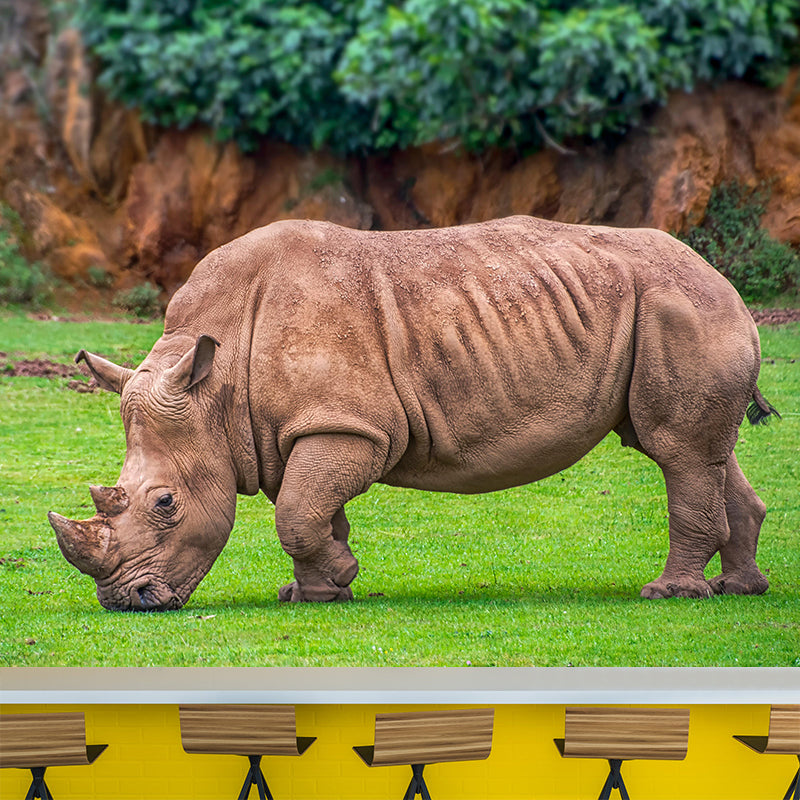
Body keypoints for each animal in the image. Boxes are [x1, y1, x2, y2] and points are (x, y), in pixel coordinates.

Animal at [48, 216, 778, 611]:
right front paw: (317, 592)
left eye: (165, 503)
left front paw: (336, 580)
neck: (215, 389)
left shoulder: (348, 424)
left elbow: (298, 515)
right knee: (701, 452)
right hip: (674, 308)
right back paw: (739, 589)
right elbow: (312, 511)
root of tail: (721, 278)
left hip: (678, 305)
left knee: (676, 449)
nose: (126, 602)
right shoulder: (295, 429)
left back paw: (669, 595)